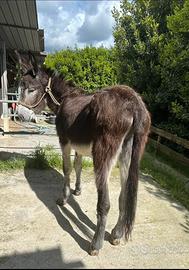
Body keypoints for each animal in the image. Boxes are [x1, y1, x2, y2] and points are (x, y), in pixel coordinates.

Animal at [15, 50, 151, 255]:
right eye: (20, 87)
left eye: (30, 89)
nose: (20, 115)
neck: (65, 98)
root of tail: (134, 102)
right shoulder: (78, 146)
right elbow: (78, 166)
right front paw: (77, 190)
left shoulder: (64, 141)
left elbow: (67, 169)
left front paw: (64, 198)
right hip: (127, 153)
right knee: (124, 195)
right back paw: (117, 234)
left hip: (103, 154)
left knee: (105, 203)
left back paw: (96, 244)